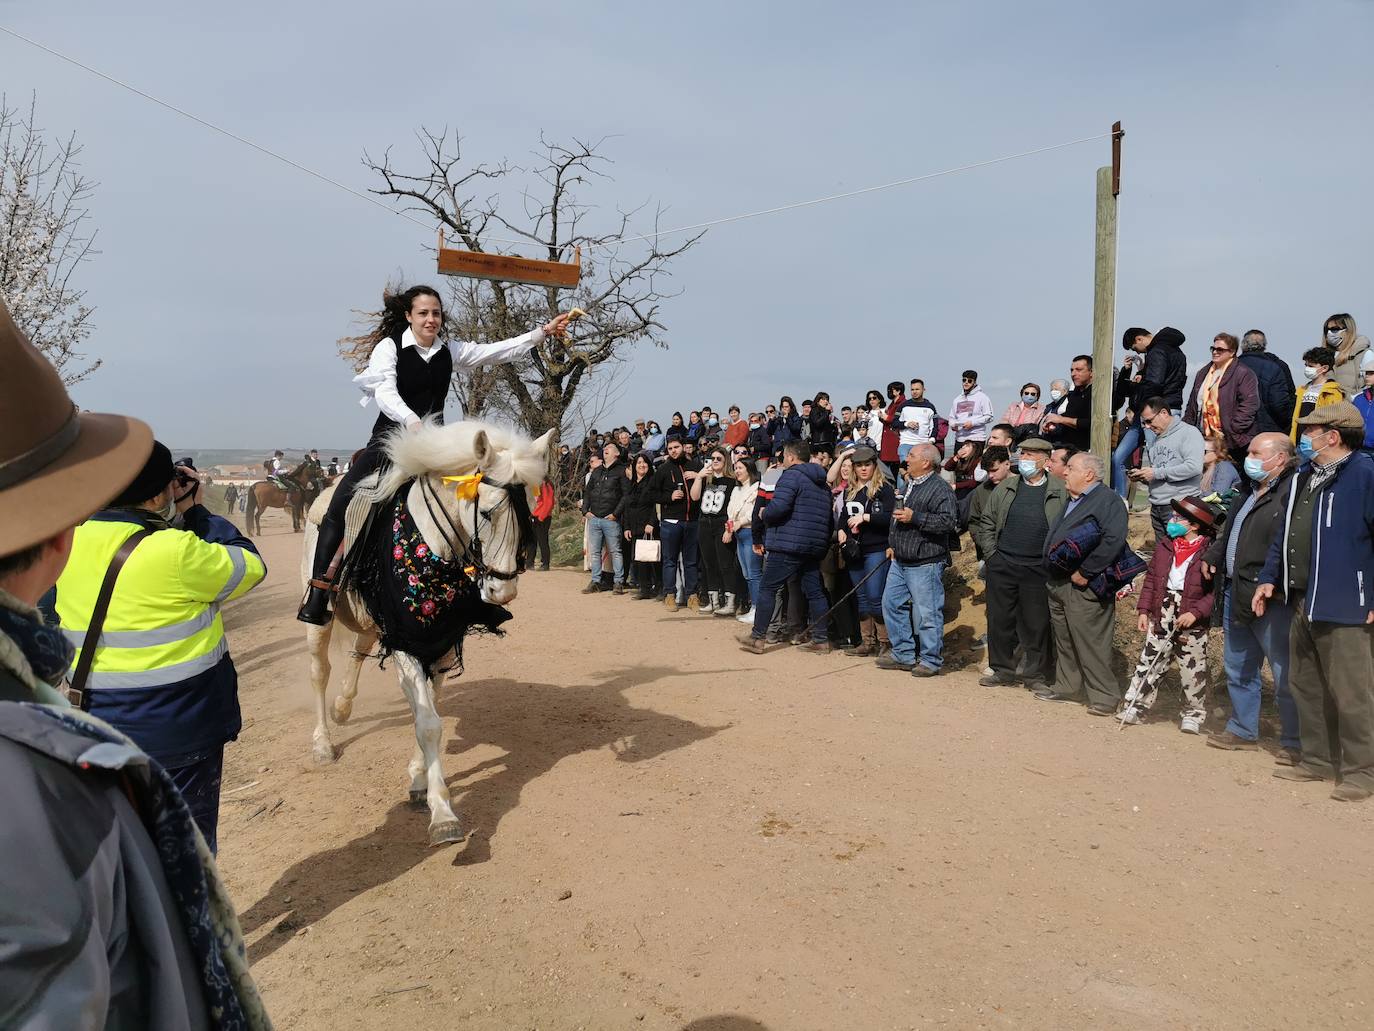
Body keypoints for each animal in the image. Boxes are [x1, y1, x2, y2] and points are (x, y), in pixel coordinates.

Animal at [303, 420, 555, 846]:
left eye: (528, 515)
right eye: (486, 513)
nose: (503, 591)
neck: (430, 552)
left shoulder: (440, 642)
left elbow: (429, 707)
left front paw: (419, 780)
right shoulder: (406, 640)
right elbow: (429, 722)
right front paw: (443, 813)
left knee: (359, 650)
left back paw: (343, 707)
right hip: (319, 618)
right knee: (319, 671)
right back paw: (322, 741)